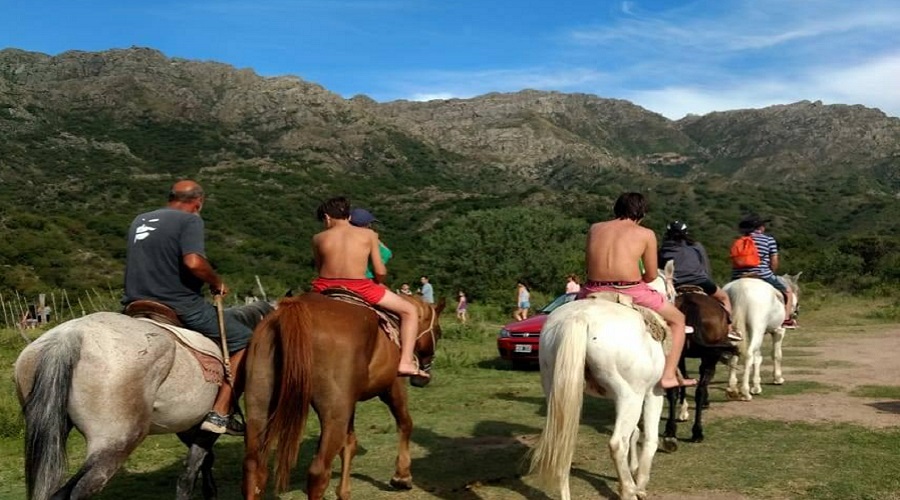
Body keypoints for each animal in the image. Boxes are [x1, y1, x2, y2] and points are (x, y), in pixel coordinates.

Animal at [243, 292, 442, 500]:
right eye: (438, 332)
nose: (422, 378)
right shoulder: (392, 387)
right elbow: (405, 423)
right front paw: (402, 476)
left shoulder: (350, 402)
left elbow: (349, 444)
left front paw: (344, 491)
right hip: (334, 415)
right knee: (319, 471)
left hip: (259, 408)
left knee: (254, 467)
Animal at [528, 262, 676, 500]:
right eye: (673, 293)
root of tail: (579, 318)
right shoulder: (653, 393)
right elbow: (649, 439)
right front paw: (640, 484)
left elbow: (635, 433)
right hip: (631, 397)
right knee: (617, 443)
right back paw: (629, 490)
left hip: (559, 394)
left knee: (562, 445)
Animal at [660, 288, 740, 448]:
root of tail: (691, 303)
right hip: (710, 357)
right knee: (700, 391)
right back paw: (697, 431)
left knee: (673, 389)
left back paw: (670, 431)